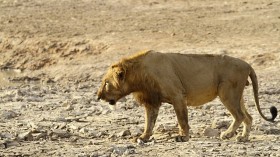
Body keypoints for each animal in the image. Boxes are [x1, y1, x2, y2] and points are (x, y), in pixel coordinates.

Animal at [97, 50, 276, 142]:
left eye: (106, 83)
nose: (98, 96)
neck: (139, 76)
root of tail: (247, 64)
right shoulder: (151, 102)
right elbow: (149, 122)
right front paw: (143, 137)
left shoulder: (177, 96)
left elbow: (182, 119)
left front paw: (183, 137)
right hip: (237, 96)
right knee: (248, 117)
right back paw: (243, 137)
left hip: (227, 93)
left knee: (239, 115)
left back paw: (228, 134)